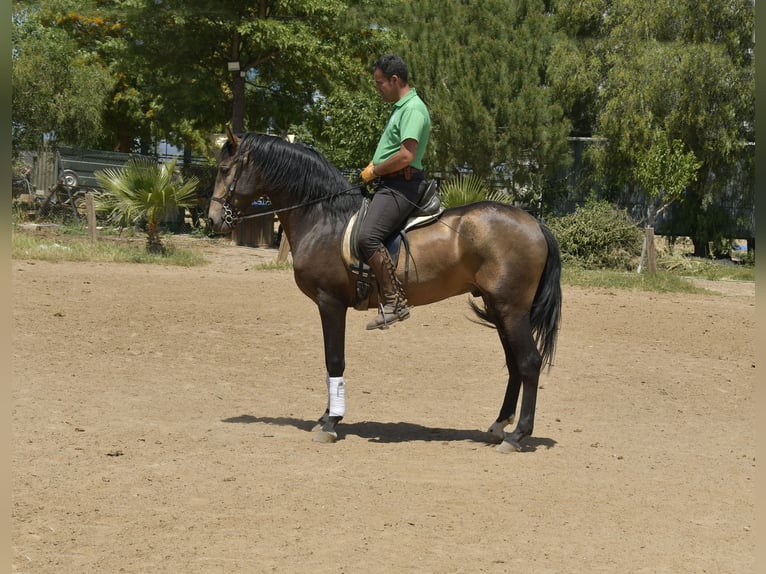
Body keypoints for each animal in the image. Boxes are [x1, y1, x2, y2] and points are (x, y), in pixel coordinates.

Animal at [210, 130, 564, 454]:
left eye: (225, 169)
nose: (213, 219)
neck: (324, 218)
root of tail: (534, 224)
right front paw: (326, 417)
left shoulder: (330, 302)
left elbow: (334, 359)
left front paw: (330, 422)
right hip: (497, 307)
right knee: (514, 363)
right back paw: (499, 426)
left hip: (511, 309)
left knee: (529, 362)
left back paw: (517, 436)